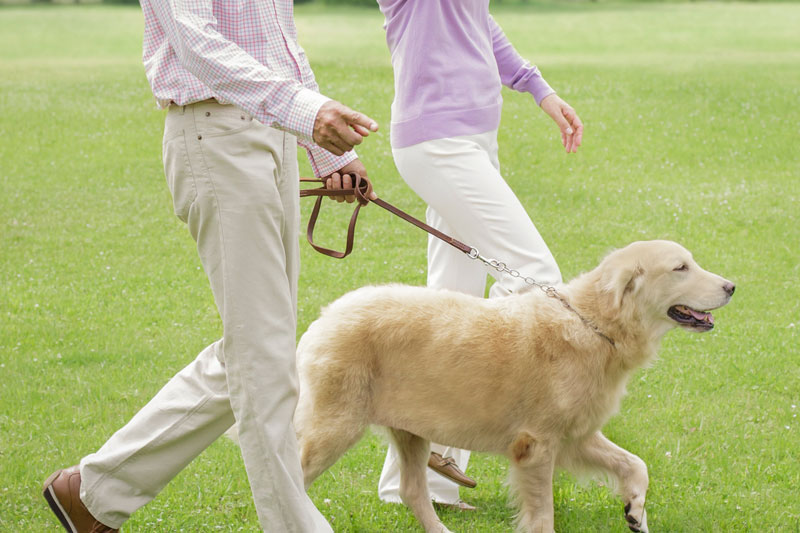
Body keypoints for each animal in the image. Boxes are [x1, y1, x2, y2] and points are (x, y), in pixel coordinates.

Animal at [294, 241, 732, 532]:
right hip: (336, 427)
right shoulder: (536, 446)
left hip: (411, 431)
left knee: (412, 492)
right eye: (680, 268)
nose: (731, 287)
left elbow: (635, 464)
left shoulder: (576, 437)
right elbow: (543, 516)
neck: (595, 323)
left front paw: (635, 511)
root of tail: (326, 315)